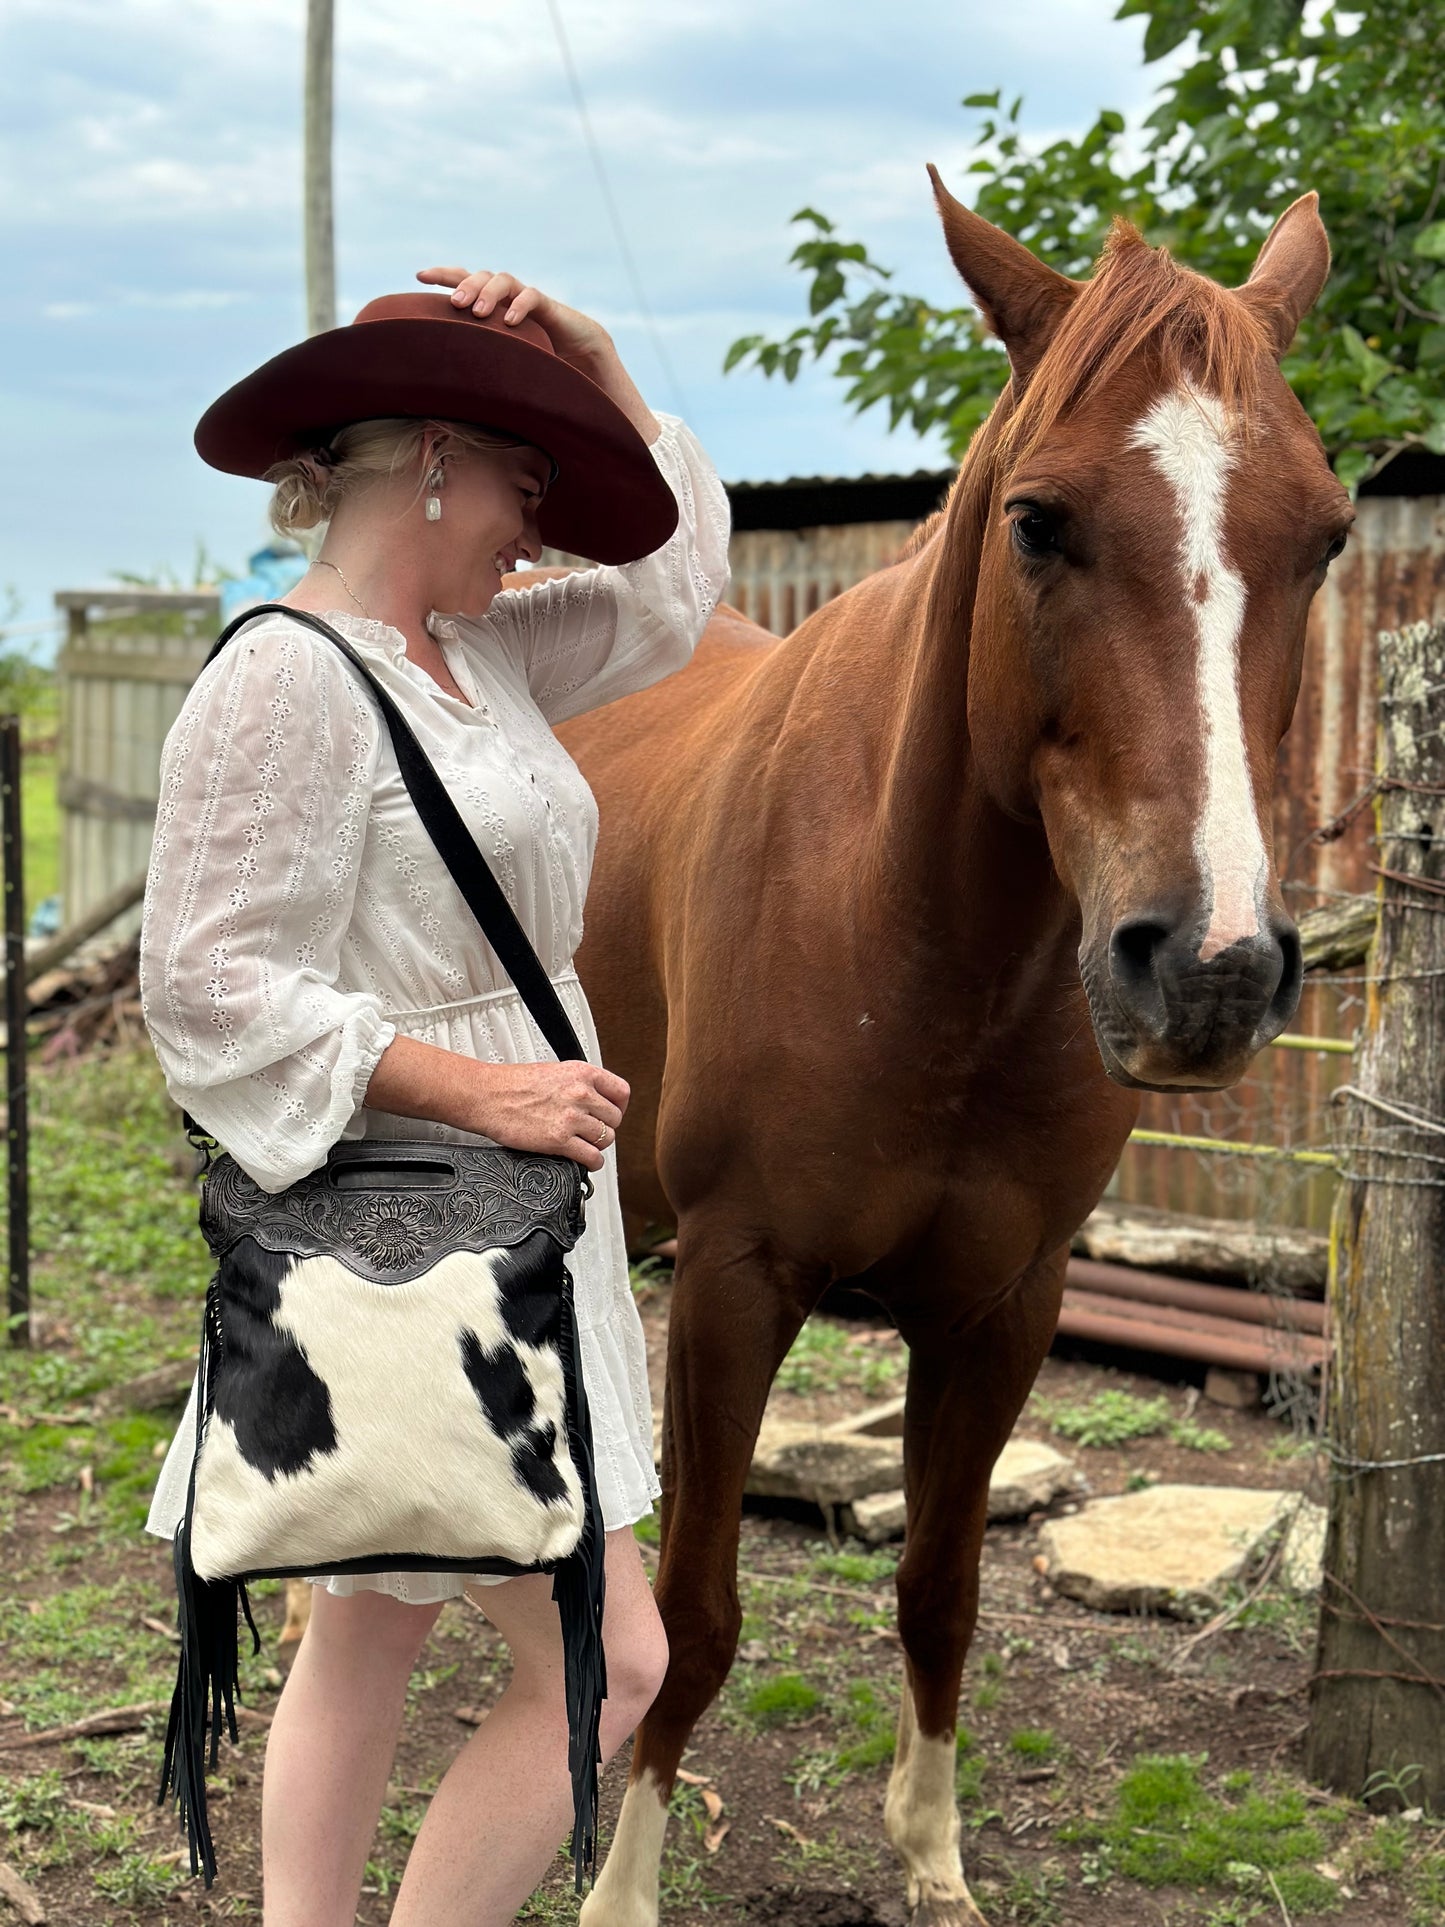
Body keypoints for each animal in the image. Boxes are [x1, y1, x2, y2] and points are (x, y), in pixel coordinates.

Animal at [570, 173, 1356, 1919]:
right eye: (1039, 519)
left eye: (1330, 533)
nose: (1207, 968)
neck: (916, 936)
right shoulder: (735, 1279)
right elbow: (703, 1611)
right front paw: (622, 1882)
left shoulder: (1006, 1302)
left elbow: (941, 1585)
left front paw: (930, 1859)